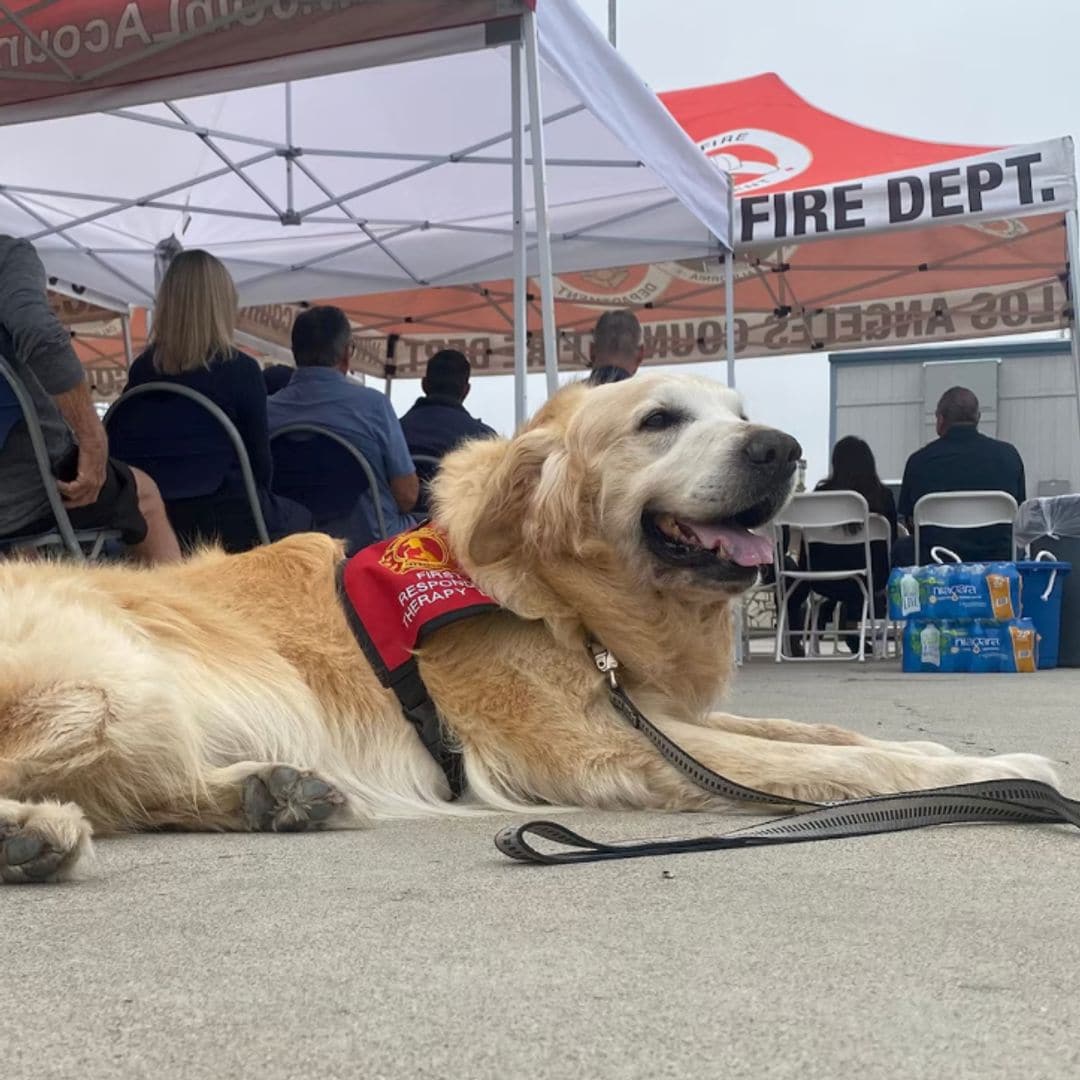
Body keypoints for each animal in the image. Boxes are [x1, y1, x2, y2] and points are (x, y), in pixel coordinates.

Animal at [0, 375, 1054, 881]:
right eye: (659, 419)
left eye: (740, 413)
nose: (784, 449)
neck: (554, 594)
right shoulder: (607, 743)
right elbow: (845, 762)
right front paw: (1005, 771)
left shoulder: (650, 708)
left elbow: (825, 730)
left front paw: (947, 752)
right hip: (108, 684)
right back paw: (30, 837)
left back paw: (273, 793)